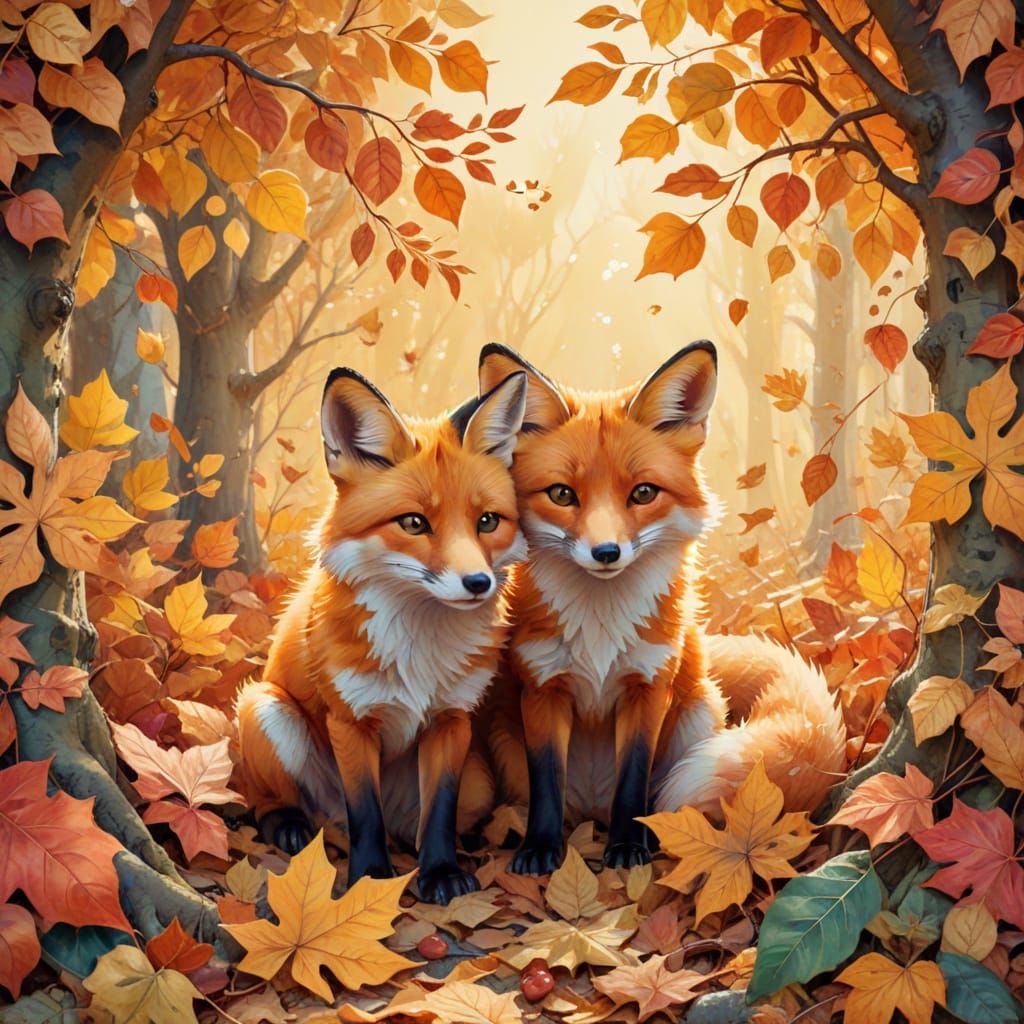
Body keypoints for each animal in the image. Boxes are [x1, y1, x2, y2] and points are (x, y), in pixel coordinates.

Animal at [236, 365, 529, 904]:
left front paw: (440, 873)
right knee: (273, 802)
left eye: (487, 521)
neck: (418, 649)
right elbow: (364, 812)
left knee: (424, 823)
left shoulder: (451, 719)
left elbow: (439, 812)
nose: (478, 583)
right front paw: (370, 876)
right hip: (266, 710)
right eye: (413, 522)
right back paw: (288, 824)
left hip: (478, 781)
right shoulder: (350, 722)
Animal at [478, 341, 846, 873]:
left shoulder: (650, 686)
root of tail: (591, 809)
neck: (601, 624)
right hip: (507, 741)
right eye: (562, 494)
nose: (606, 553)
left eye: (644, 493)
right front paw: (541, 849)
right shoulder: (543, 689)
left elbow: (634, 782)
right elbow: (547, 784)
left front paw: (629, 848)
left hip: (698, 713)